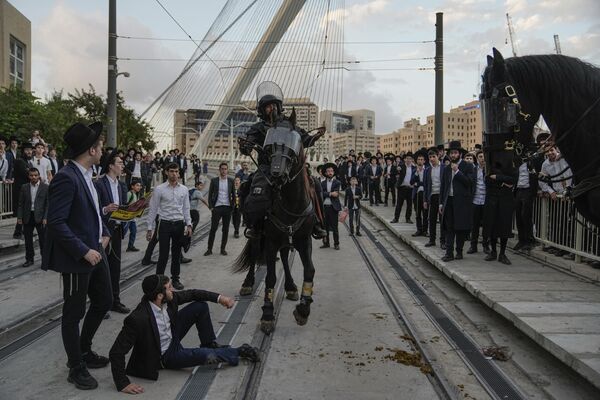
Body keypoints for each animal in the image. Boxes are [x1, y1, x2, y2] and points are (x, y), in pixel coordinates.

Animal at [233, 121, 318, 334]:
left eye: (295, 144)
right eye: (269, 146)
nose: (276, 174)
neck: (291, 203)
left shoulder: (304, 240)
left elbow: (309, 270)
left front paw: (303, 309)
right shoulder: (271, 241)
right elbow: (270, 277)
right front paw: (268, 314)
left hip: (286, 239)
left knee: (286, 257)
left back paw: (290, 286)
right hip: (258, 234)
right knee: (255, 253)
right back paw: (248, 283)